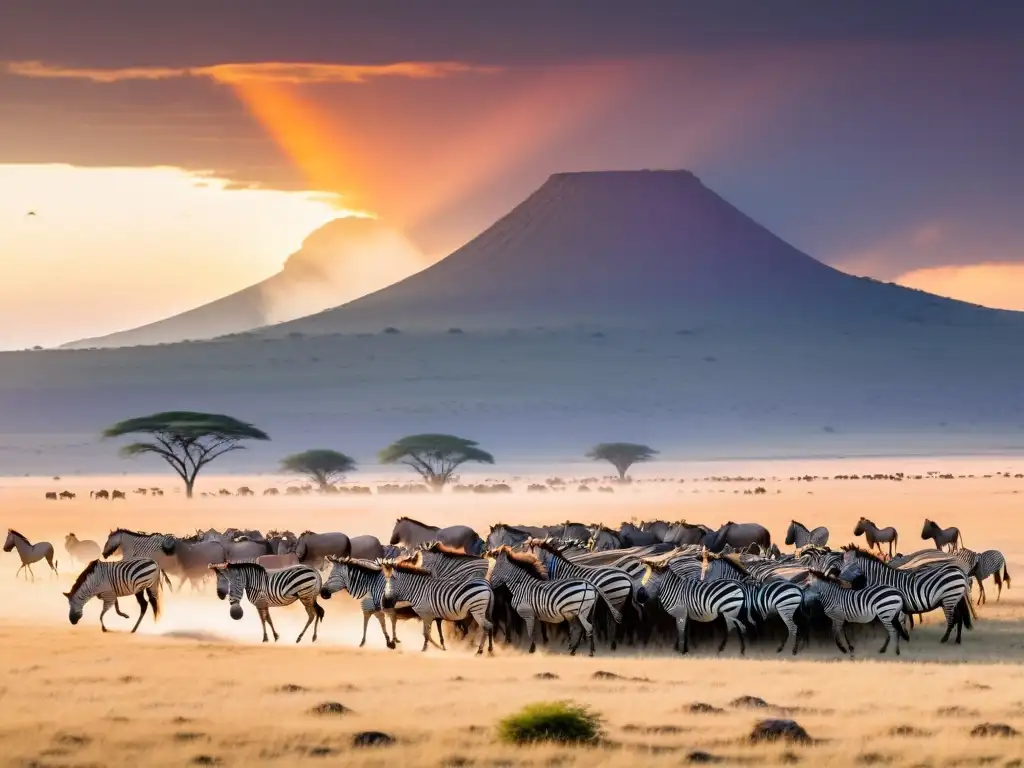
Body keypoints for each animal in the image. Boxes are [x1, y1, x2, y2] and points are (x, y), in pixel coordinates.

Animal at [835, 544, 970, 647]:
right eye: (842, 563)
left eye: (848, 564)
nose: (838, 578)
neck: (883, 580)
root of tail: (958, 570)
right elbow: (899, 621)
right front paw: (903, 637)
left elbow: (898, 621)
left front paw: (902, 637)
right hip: (953, 599)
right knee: (959, 617)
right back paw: (957, 640)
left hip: (949, 598)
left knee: (953, 618)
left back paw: (945, 639)